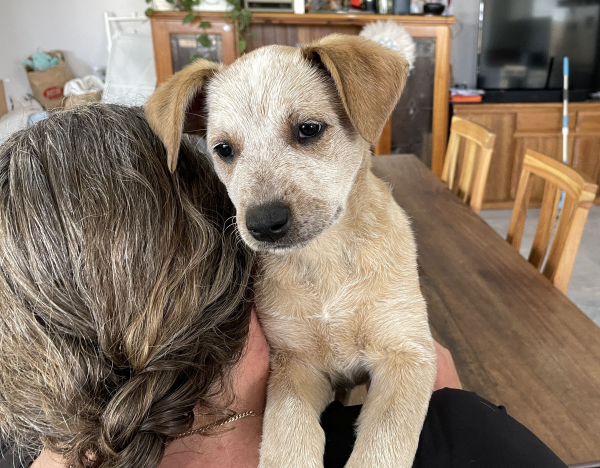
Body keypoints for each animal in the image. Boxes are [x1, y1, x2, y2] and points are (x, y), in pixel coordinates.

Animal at [145, 33, 436, 468]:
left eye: (309, 129)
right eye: (224, 149)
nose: (263, 224)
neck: (325, 259)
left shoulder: (407, 354)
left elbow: (384, 440)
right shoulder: (295, 365)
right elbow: (289, 431)